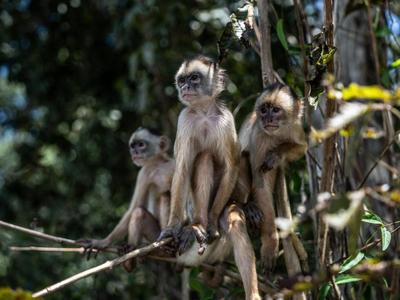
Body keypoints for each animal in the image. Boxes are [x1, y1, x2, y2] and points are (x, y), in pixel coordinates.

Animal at [78, 127, 173, 272]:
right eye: (133, 146)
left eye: (141, 145)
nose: (134, 152)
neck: (158, 165)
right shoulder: (144, 173)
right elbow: (134, 207)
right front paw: (103, 242)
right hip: (154, 237)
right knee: (139, 212)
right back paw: (131, 255)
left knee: (166, 194)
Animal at [159, 55, 241, 252]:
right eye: (181, 80)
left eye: (194, 78)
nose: (184, 87)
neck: (204, 112)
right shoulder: (184, 118)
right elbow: (182, 169)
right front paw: (173, 226)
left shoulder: (226, 120)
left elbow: (232, 167)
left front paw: (211, 223)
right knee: (204, 158)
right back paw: (196, 225)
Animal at [236, 82, 308, 274]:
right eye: (263, 110)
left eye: (275, 110)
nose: (267, 118)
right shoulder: (259, 136)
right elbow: (261, 186)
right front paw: (270, 242)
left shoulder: (295, 127)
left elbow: (302, 147)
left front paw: (277, 154)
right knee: (242, 156)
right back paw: (246, 206)